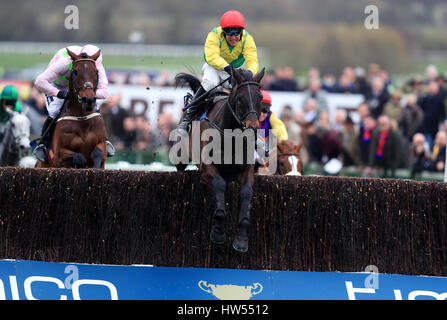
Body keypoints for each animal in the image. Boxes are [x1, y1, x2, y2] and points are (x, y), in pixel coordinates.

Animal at [175, 67, 266, 252]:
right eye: (239, 98)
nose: (252, 128)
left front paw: (241, 239)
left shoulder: (246, 169)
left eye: (260, 97)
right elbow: (219, 184)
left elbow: (247, 193)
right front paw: (218, 231)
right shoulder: (206, 168)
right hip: (181, 155)